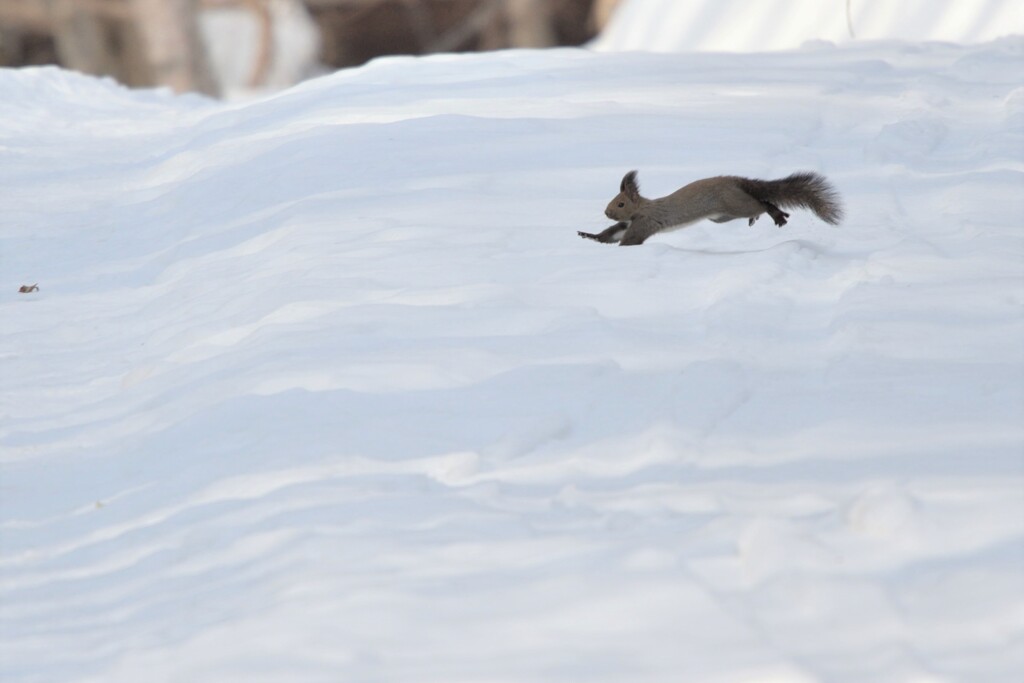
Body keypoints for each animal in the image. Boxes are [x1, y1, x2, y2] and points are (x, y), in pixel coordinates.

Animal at [581, 169, 843, 245]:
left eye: (620, 203)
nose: (607, 212)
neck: (642, 209)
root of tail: (736, 181)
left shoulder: (645, 222)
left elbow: (629, 240)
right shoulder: (627, 224)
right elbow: (610, 234)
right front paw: (589, 236)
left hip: (735, 203)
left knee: (761, 203)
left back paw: (775, 214)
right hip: (722, 216)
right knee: (758, 204)